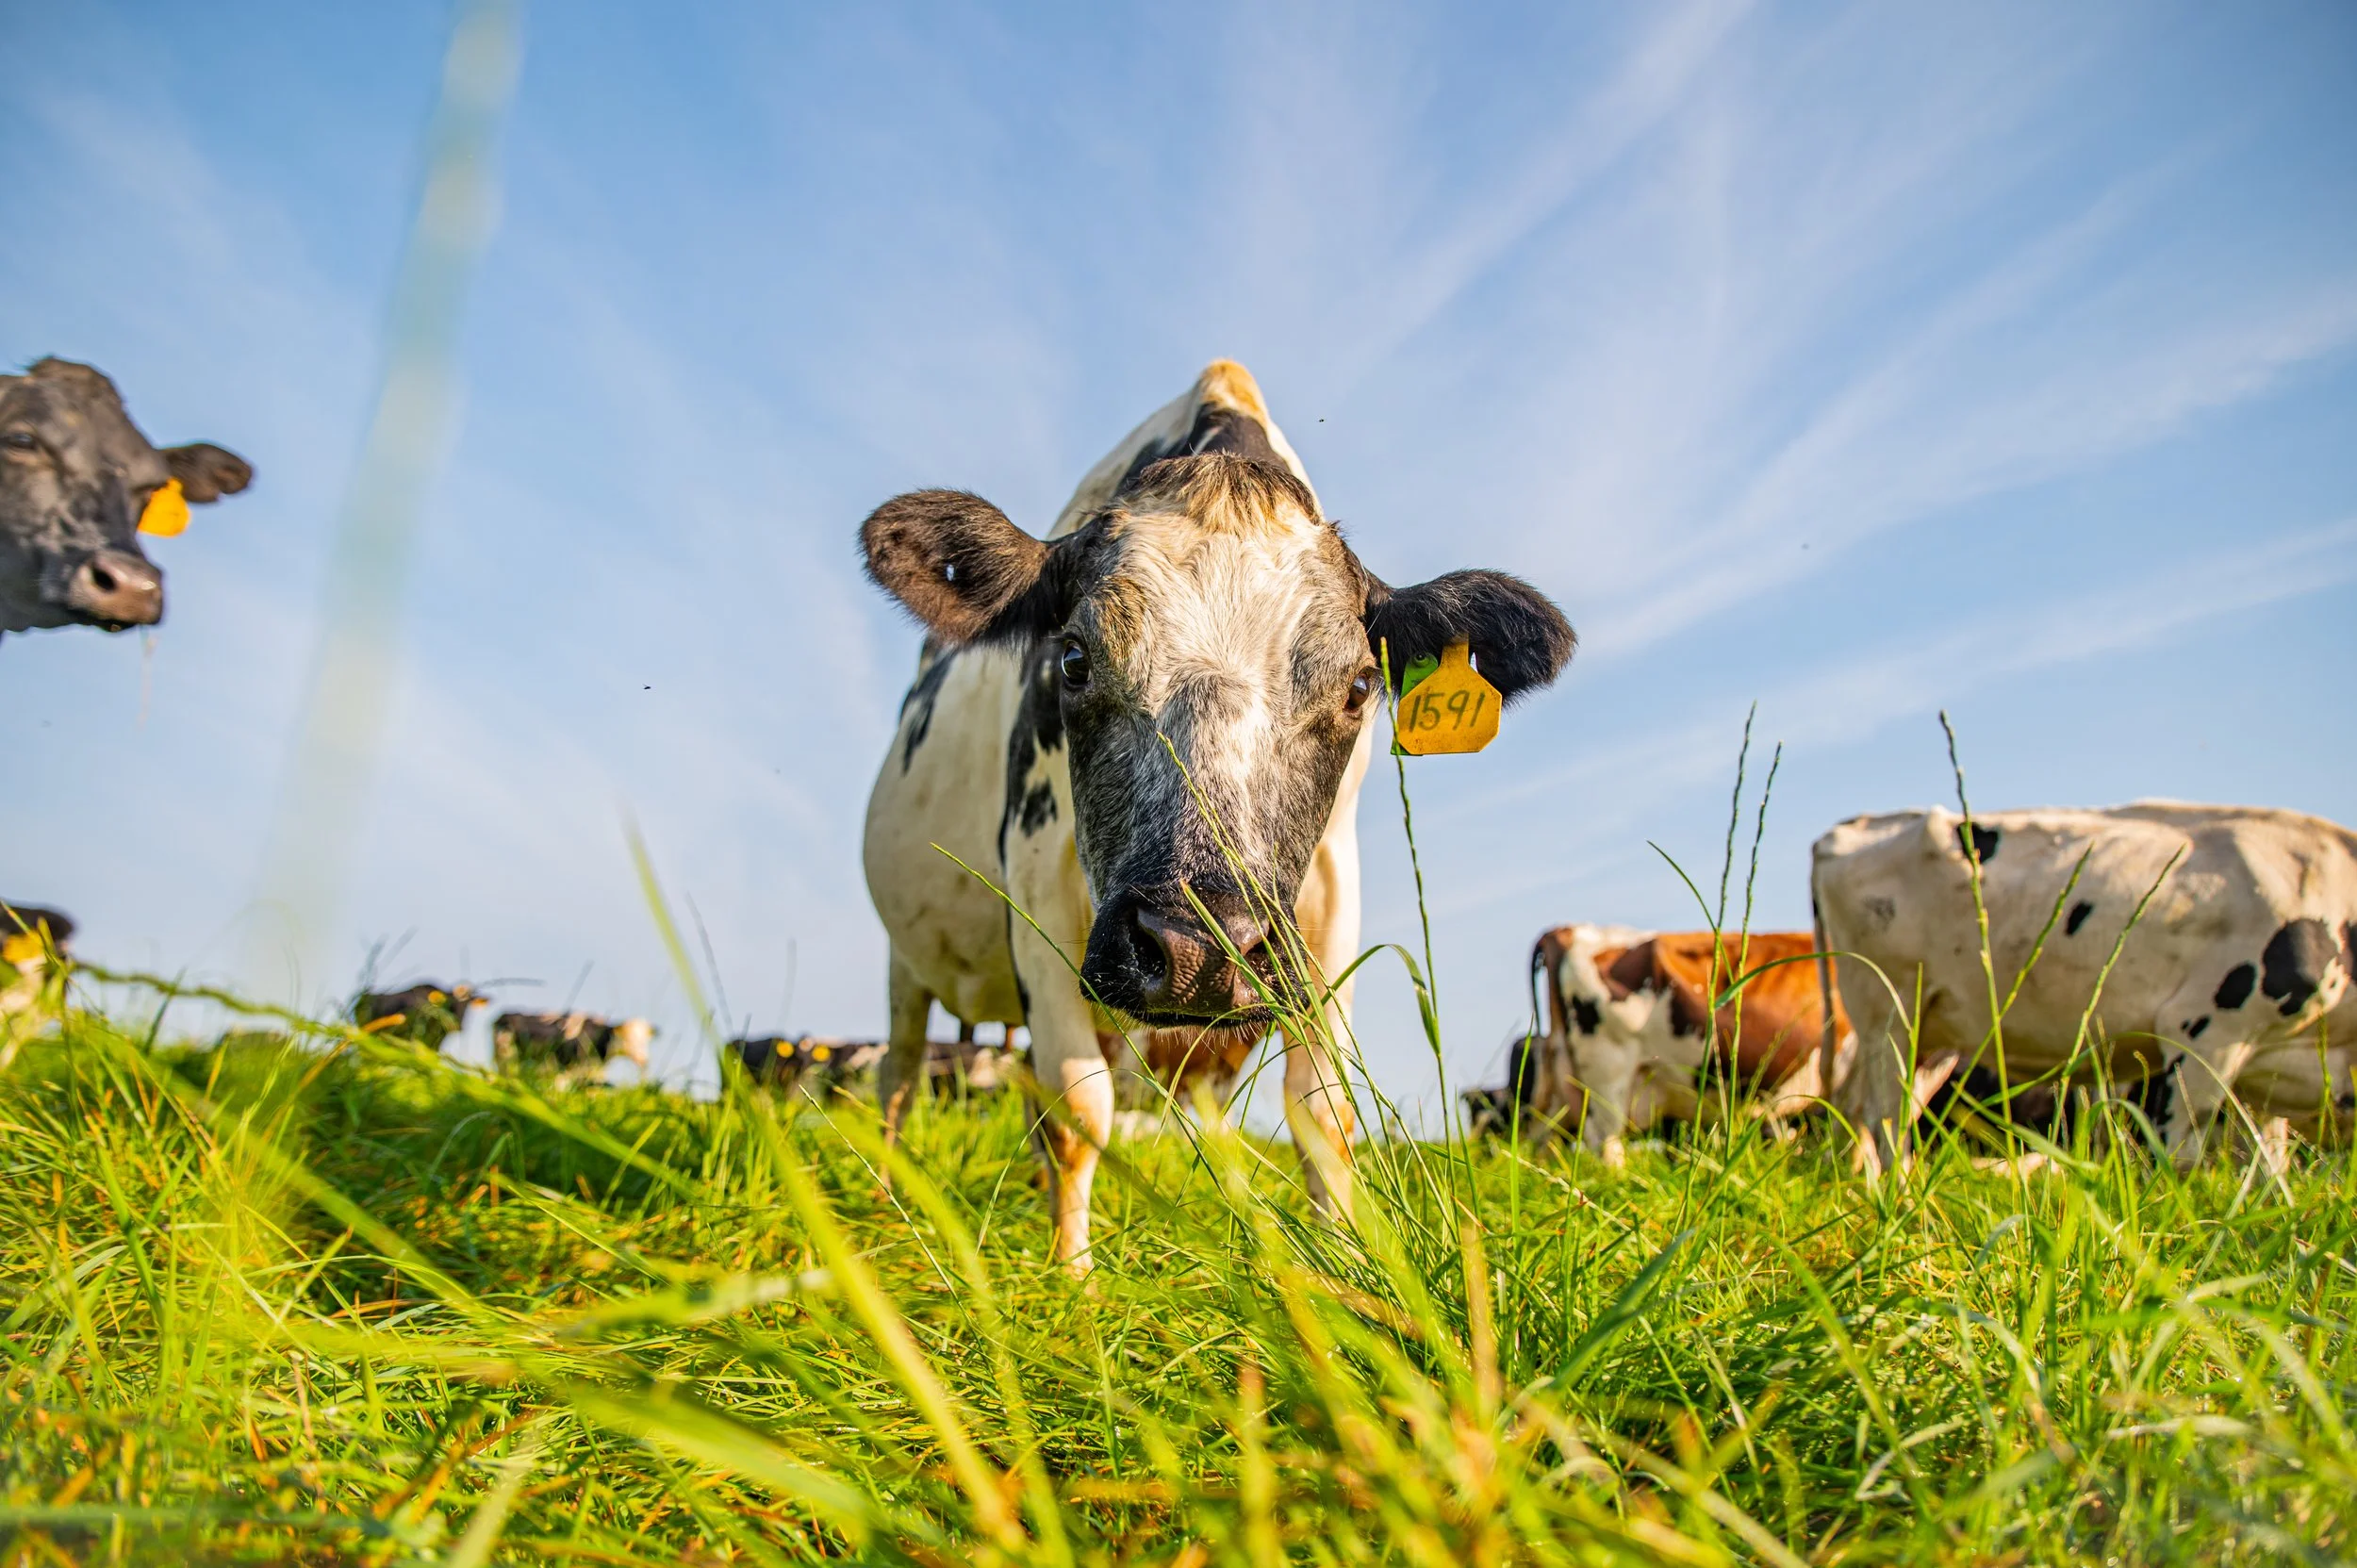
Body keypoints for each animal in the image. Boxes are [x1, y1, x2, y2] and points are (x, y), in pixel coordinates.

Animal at [860, 360, 1575, 1270]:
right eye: (1072, 659)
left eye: (1358, 686)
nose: (1200, 949)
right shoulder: (1036, 876)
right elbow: (1078, 1107)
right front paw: (1073, 1283)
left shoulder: (1326, 894)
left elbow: (1323, 1109)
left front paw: (1341, 1273)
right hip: (904, 958)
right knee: (900, 1073)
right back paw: (889, 1201)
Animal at [1815, 803, 2357, 1177]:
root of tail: (1855, 826)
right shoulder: (2203, 1032)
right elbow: (2181, 1158)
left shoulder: (2265, 1075)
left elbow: (2268, 1170)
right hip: (1890, 1012)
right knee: (1887, 1121)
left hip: (1934, 1032)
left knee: (1863, 1112)